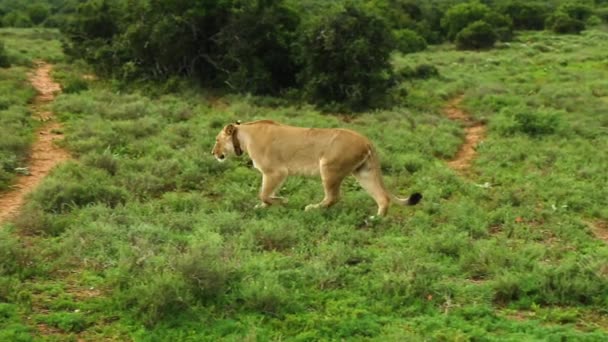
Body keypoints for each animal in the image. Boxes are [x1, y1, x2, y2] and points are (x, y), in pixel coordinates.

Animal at [211, 120, 420, 216]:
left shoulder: (275, 171)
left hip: (329, 167)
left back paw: (312, 208)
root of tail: (366, 139)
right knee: (383, 197)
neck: (244, 136)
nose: (213, 153)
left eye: (217, 140)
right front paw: (264, 206)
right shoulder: (275, 174)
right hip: (364, 172)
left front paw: (281, 201)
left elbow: (264, 193)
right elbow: (266, 193)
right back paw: (376, 219)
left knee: (333, 197)